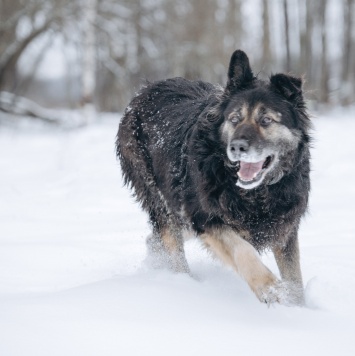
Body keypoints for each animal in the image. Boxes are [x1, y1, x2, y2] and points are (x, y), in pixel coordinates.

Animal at [117, 50, 312, 306]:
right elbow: (243, 250)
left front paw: (299, 307)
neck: (255, 194)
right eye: (235, 118)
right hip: (164, 200)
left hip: (182, 212)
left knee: (157, 239)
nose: (236, 147)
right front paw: (269, 288)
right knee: (172, 242)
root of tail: (143, 91)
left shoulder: (284, 228)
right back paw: (183, 283)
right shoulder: (206, 219)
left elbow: (296, 279)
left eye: (266, 120)